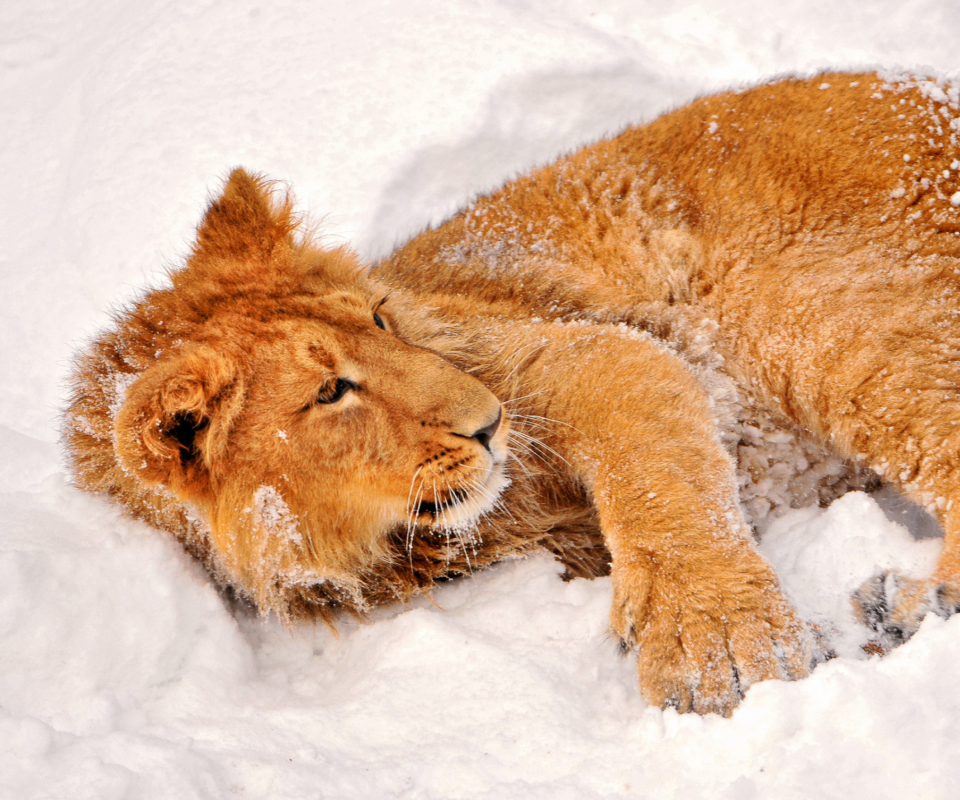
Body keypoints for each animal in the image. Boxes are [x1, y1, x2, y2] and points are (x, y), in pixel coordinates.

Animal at [63, 72, 960, 716]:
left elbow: (657, 486)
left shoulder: (590, 353)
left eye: (381, 318)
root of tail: (925, 84)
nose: (490, 422)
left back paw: (914, 603)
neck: (391, 545)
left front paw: (722, 649)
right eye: (331, 392)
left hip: (816, 322)